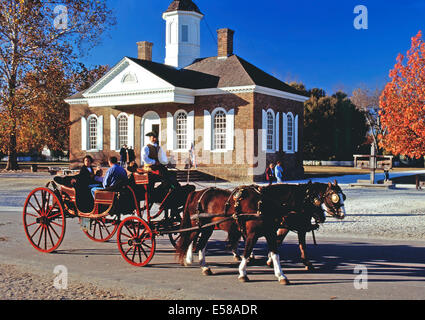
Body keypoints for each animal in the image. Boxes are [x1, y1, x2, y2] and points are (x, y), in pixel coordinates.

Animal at [174, 181, 326, 284]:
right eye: (314, 200)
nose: (322, 216)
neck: (263, 204)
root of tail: (197, 193)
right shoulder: (252, 234)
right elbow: (247, 252)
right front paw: (242, 273)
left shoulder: (270, 233)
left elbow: (275, 253)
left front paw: (281, 275)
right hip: (198, 227)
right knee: (191, 241)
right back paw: (191, 260)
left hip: (207, 228)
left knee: (200, 245)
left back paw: (204, 266)